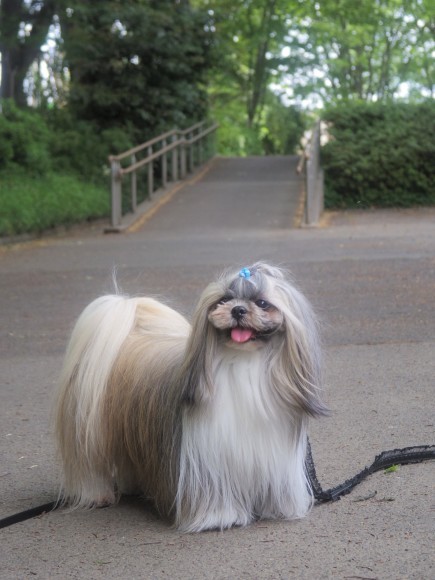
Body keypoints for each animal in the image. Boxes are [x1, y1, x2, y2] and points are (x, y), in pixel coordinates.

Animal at [54, 262, 328, 532]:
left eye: (262, 303)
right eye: (224, 299)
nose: (238, 309)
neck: (244, 362)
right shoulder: (207, 460)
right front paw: (220, 517)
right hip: (89, 432)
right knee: (91, 466)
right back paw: (99, 496)